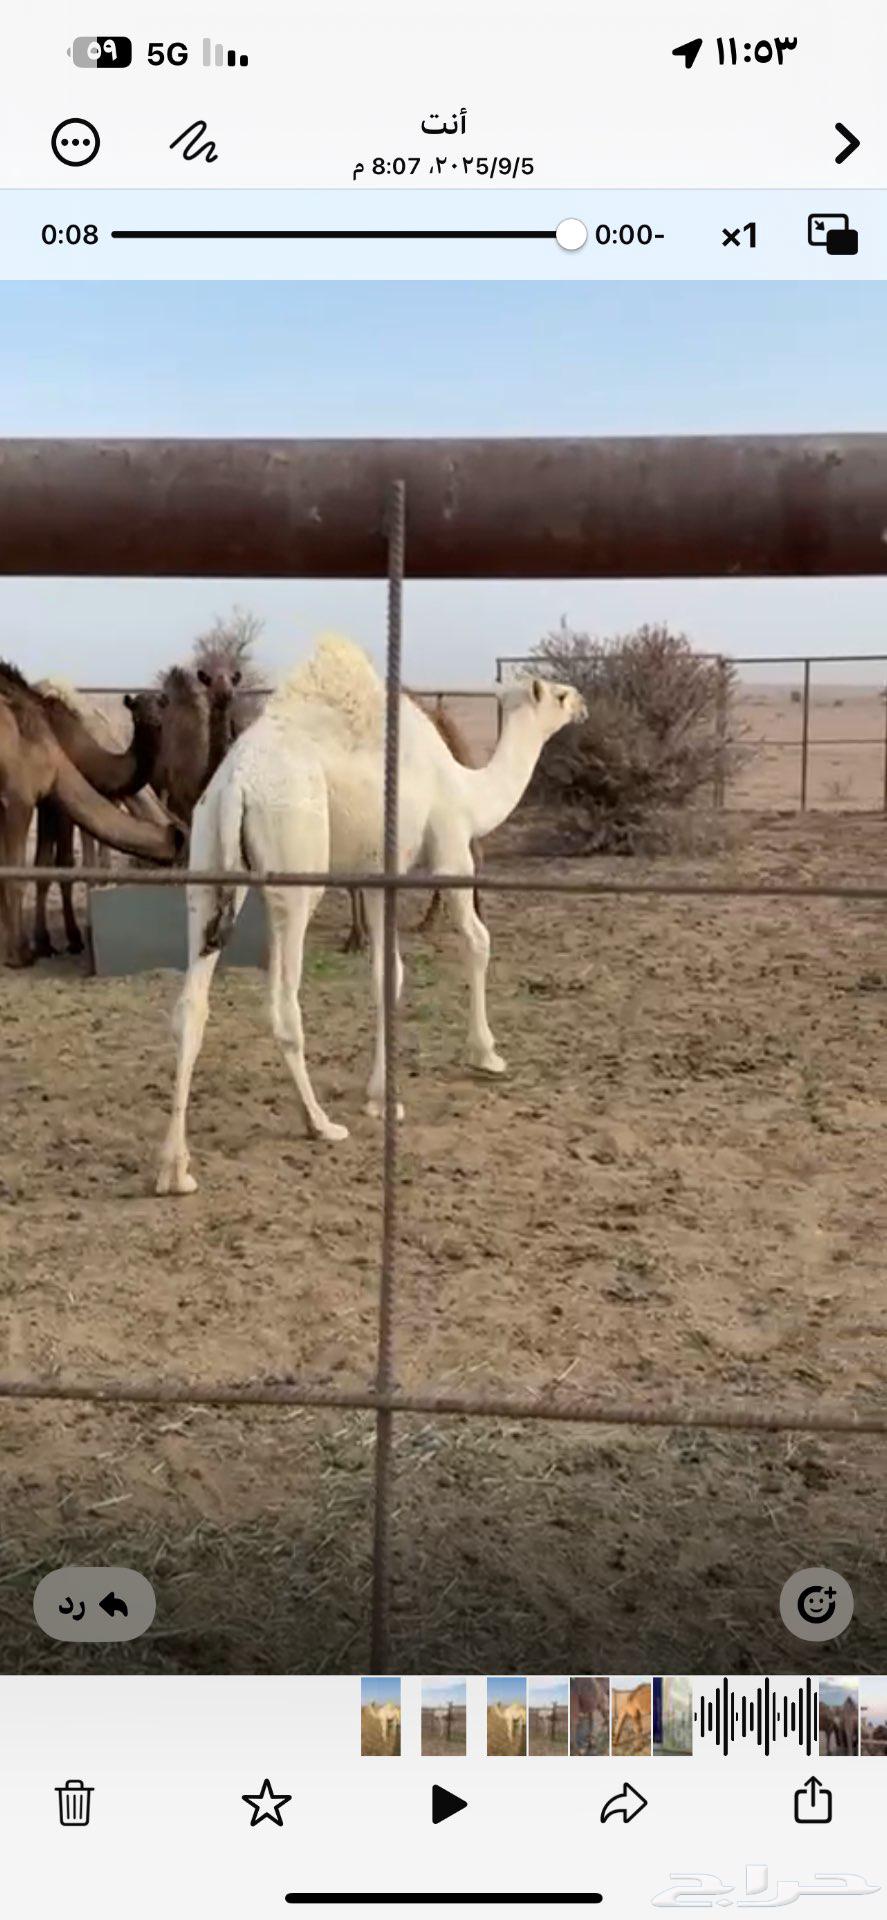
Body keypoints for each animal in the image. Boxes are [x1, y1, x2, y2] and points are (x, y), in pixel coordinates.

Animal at [0, 666, 182, 967]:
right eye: (135, 709)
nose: (153, 722)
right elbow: (33, 872)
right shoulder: (21, 798)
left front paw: (47, 943)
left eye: (161, 705)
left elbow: (47, 867)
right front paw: (24, 952)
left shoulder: (45, 799)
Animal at [154, 633, 585, 1196]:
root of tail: (236, 784)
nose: (583, 703)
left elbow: (388, 974)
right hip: (296, 866)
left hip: (206, 866)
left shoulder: (382, 873)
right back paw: (318, 1123)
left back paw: (175, 1168)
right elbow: (475, 940)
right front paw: (485, 1056)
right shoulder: (450, 851)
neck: (466, 787)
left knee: (189, 1006)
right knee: (283, 1002)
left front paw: (381, 1096)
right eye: (558, 694)